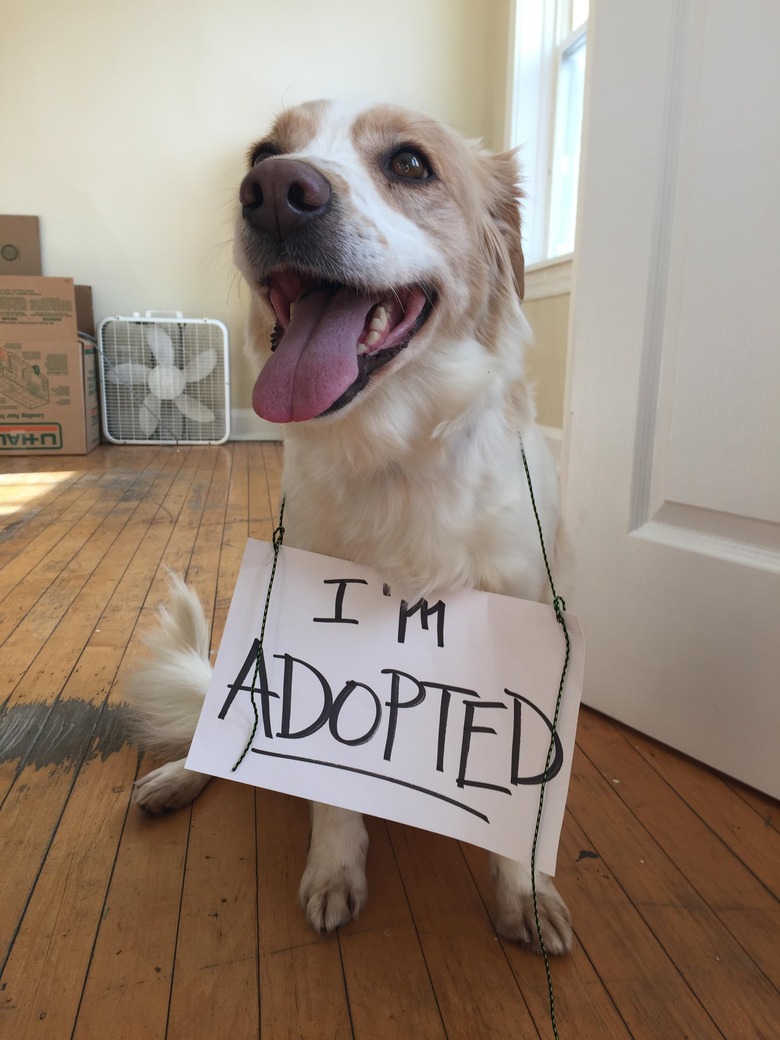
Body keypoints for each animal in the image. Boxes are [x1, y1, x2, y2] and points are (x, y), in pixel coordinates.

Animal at [130, 101, 574, 952]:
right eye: (264, 154)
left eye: (409, 163)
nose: (273, 192)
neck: (394, 457)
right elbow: (329, 795)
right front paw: (335, 870)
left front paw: (524, 892)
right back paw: (179, 776)